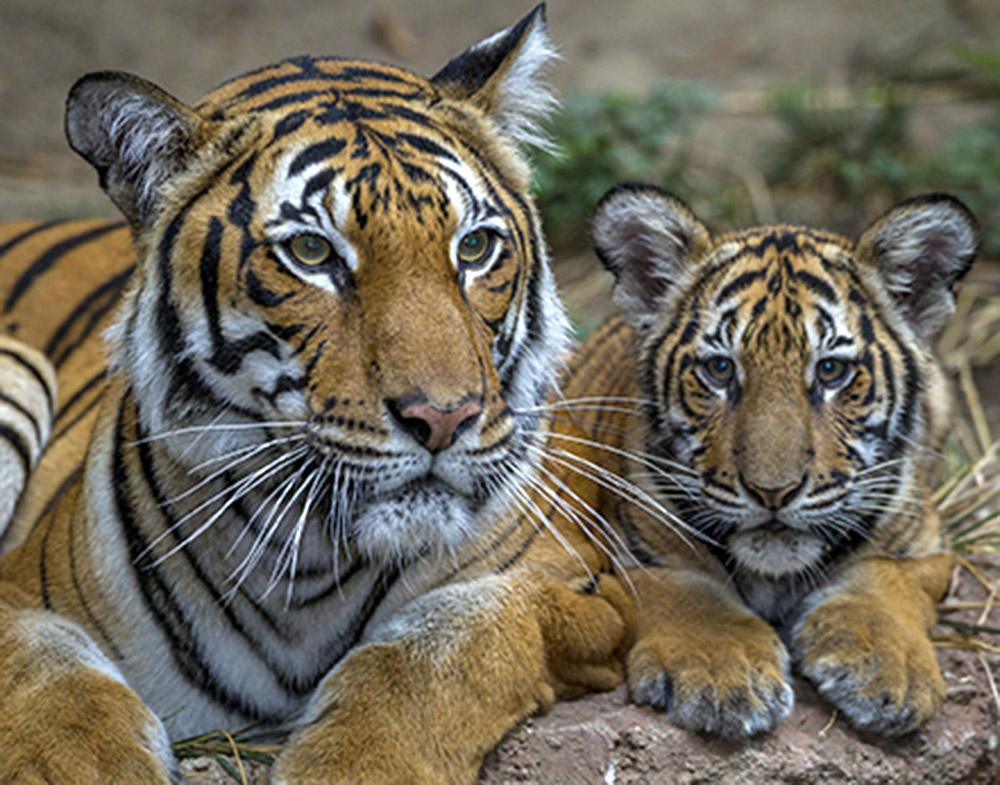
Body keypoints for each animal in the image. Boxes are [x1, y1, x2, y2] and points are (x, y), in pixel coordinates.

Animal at [0, 7, 628, 784]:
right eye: (312, 253)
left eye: (475, 248)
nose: (444, 418)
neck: (306, 564)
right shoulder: (18, 595)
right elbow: (51, 678)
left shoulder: (582, 588)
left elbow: (439, 648)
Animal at [564, 187, 976, 740]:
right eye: (720, 369)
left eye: (831, 370)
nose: (773, 492)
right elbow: (681, 588)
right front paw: (722, 670)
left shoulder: (928, 548)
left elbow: (887, 578)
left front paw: (889, 671)